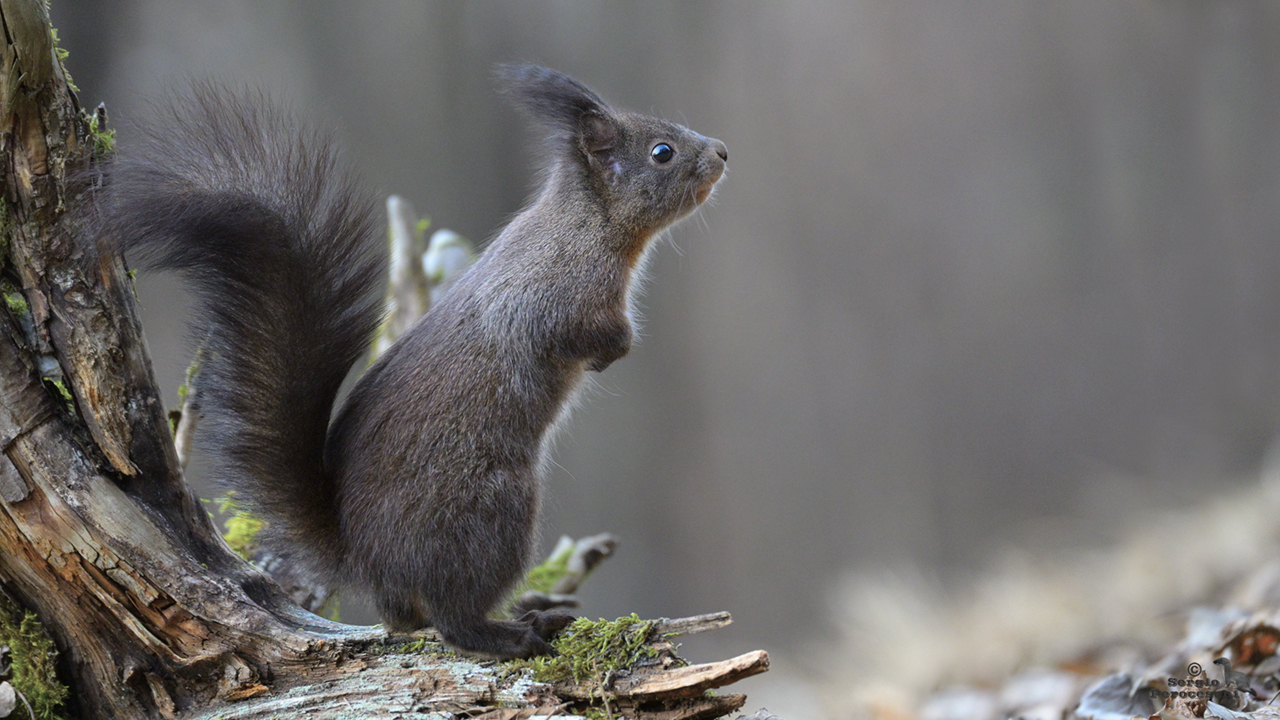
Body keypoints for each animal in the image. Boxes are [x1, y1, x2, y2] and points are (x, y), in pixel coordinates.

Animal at [90, 66, 727, 659]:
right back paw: (514, 632)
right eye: (662, 152)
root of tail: (366, 558)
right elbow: (576, 330)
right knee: (452, 620)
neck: (589, 224)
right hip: (491, 513)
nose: (722, 152)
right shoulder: (548, 295)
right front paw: (615, 349)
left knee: (412, 621)